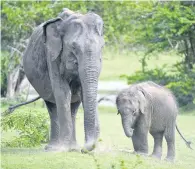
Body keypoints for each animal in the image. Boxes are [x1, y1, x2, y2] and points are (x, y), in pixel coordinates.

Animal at [22, 8, 104, 152]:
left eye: (102, 47)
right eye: (74, 48)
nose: (86, 149)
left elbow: (82, 92)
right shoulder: (52, 55)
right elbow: (62, 92)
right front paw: (62, 150)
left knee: (74, 107)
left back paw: (73, 148)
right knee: (52, 106)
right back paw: (54, 148)